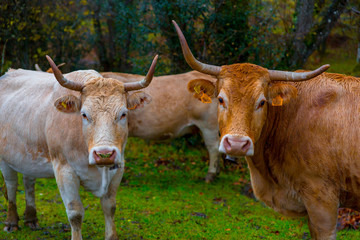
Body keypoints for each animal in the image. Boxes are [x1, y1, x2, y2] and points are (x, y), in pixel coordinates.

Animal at [0, 54, 158, 240]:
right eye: (84, 114)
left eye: (123, 113)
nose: (104, 154)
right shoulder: (64, 170)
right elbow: (75, 213)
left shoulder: (118, 167)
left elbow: (109, 207)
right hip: (5, 158)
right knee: (11, 185)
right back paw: (11, 222)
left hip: (28, 155)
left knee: (29, 181)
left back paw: (31, 219)